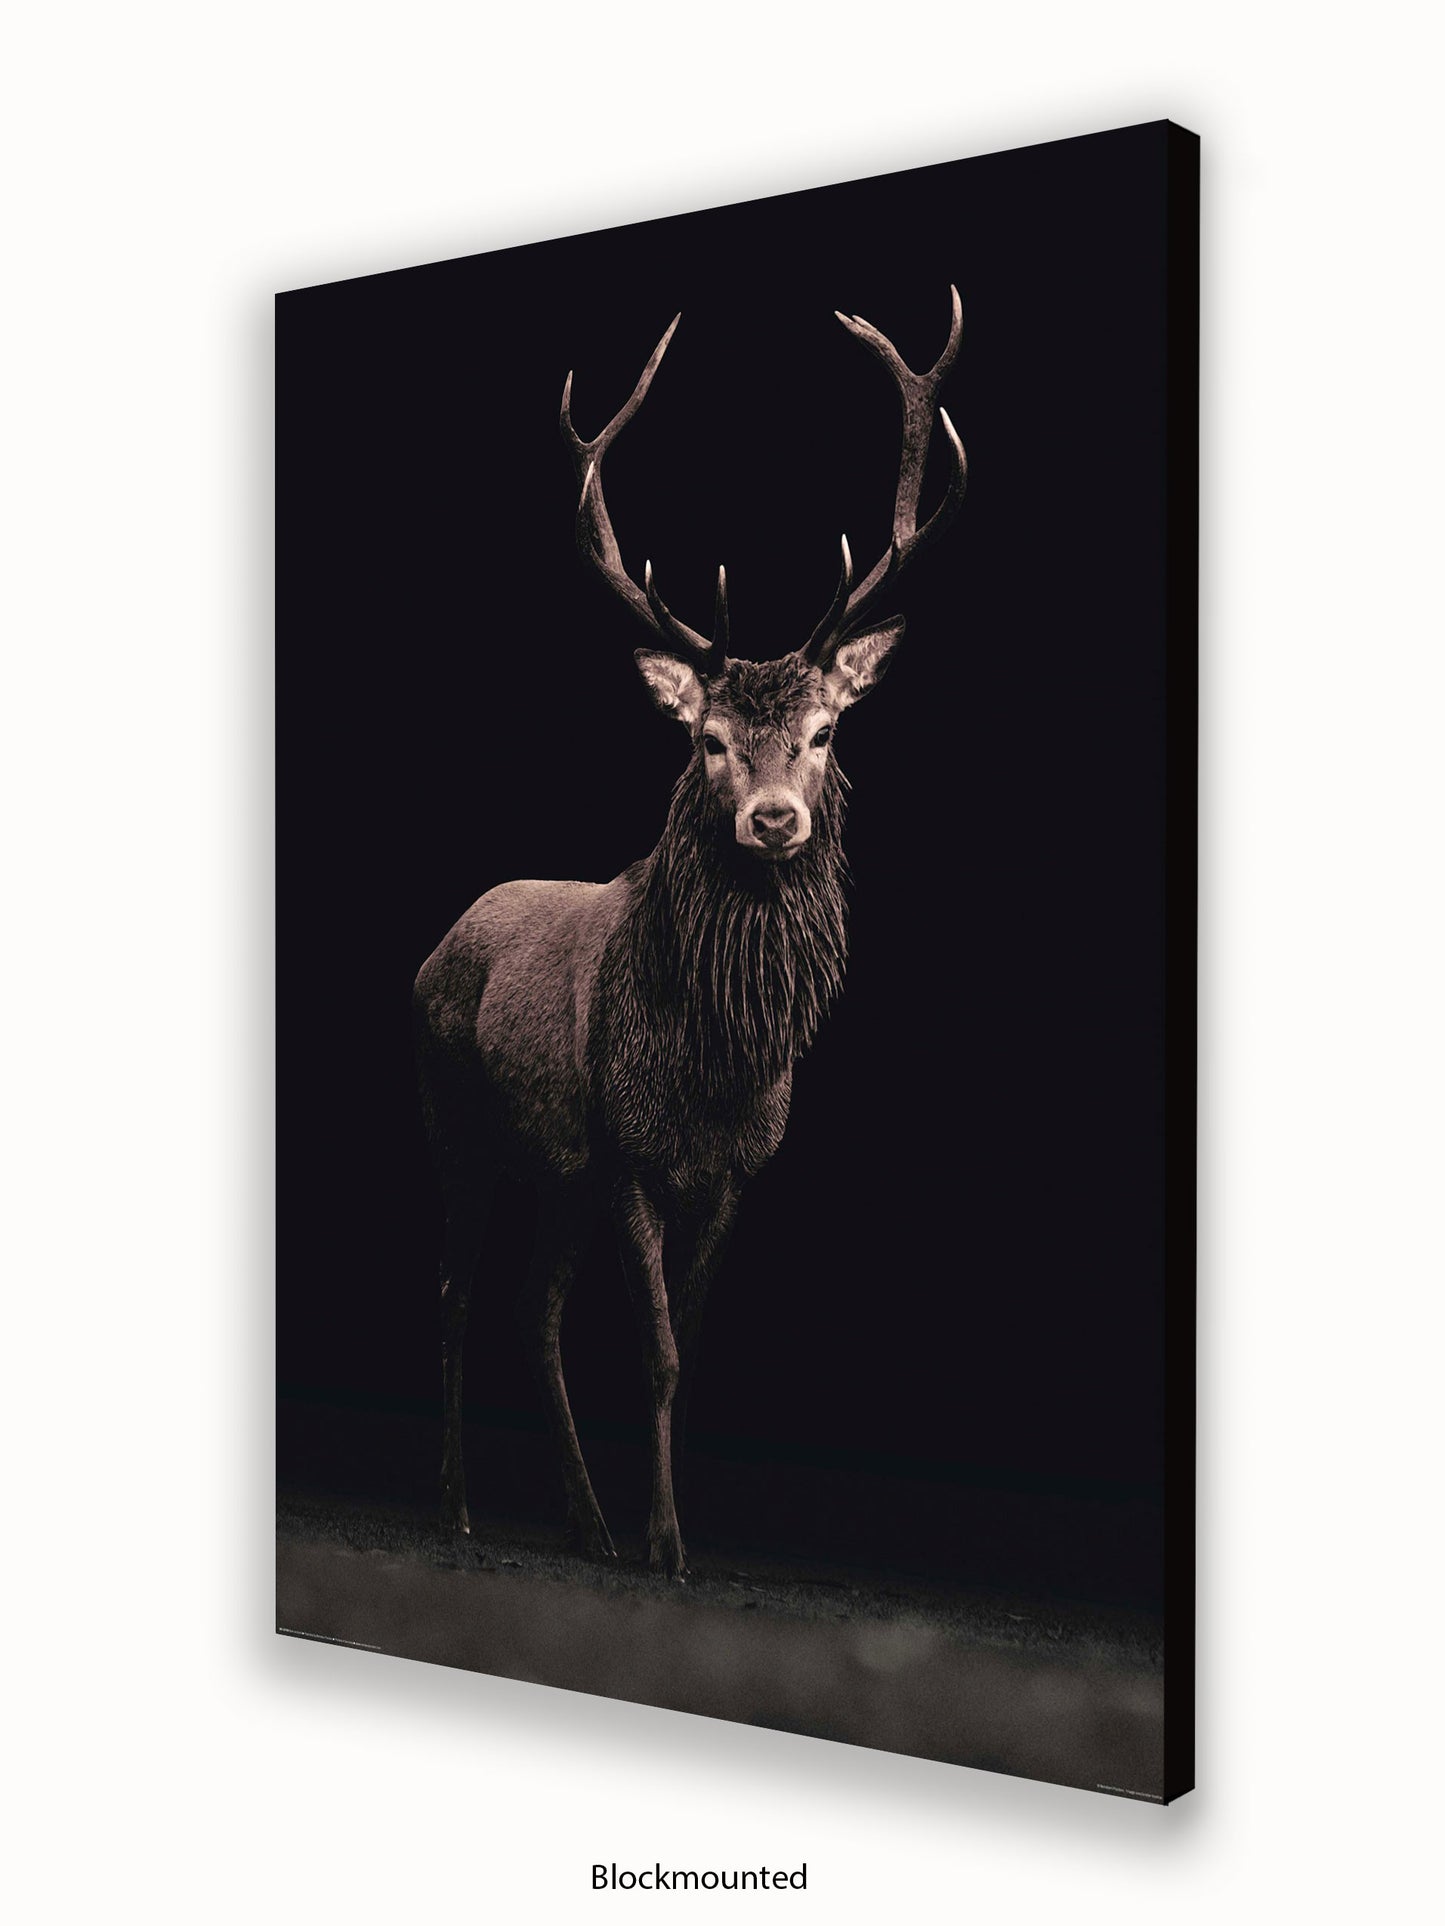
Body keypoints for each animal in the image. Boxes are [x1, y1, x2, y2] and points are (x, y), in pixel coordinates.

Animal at [413, 288, 966, 1579]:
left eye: (822, 730)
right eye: (709, 740)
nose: (771, 819)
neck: (714, 1068)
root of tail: (440, 940)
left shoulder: (733, 1171)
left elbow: (691, 1347)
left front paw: (664, 1529)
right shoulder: (628, 1151)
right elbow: (656, 1348)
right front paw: (668, 1542)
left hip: (554, 1168)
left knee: (533, 1307)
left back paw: (583, 1519)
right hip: (459, 1121)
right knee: (460, 1294)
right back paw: (459, 1503)